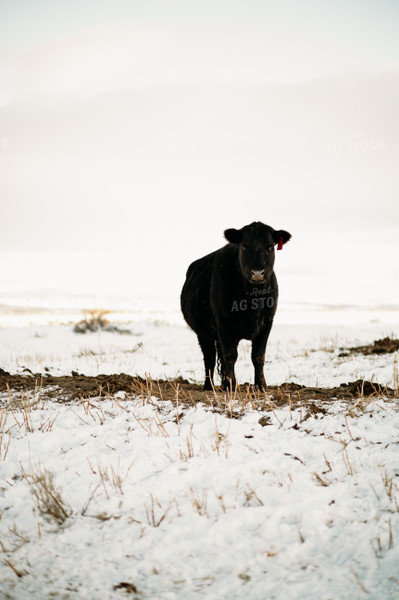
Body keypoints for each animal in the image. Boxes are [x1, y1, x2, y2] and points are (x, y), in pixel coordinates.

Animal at [181, 223, 290, 392]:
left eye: (270, 246)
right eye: (244, 246)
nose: (257, 272)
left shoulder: (267, 322)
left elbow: (258, 356)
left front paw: (261, 385)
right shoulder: (222, 322)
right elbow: (230, 355)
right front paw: (230, 386)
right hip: (203, 333)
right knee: (209, 358)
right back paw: (209, 386)